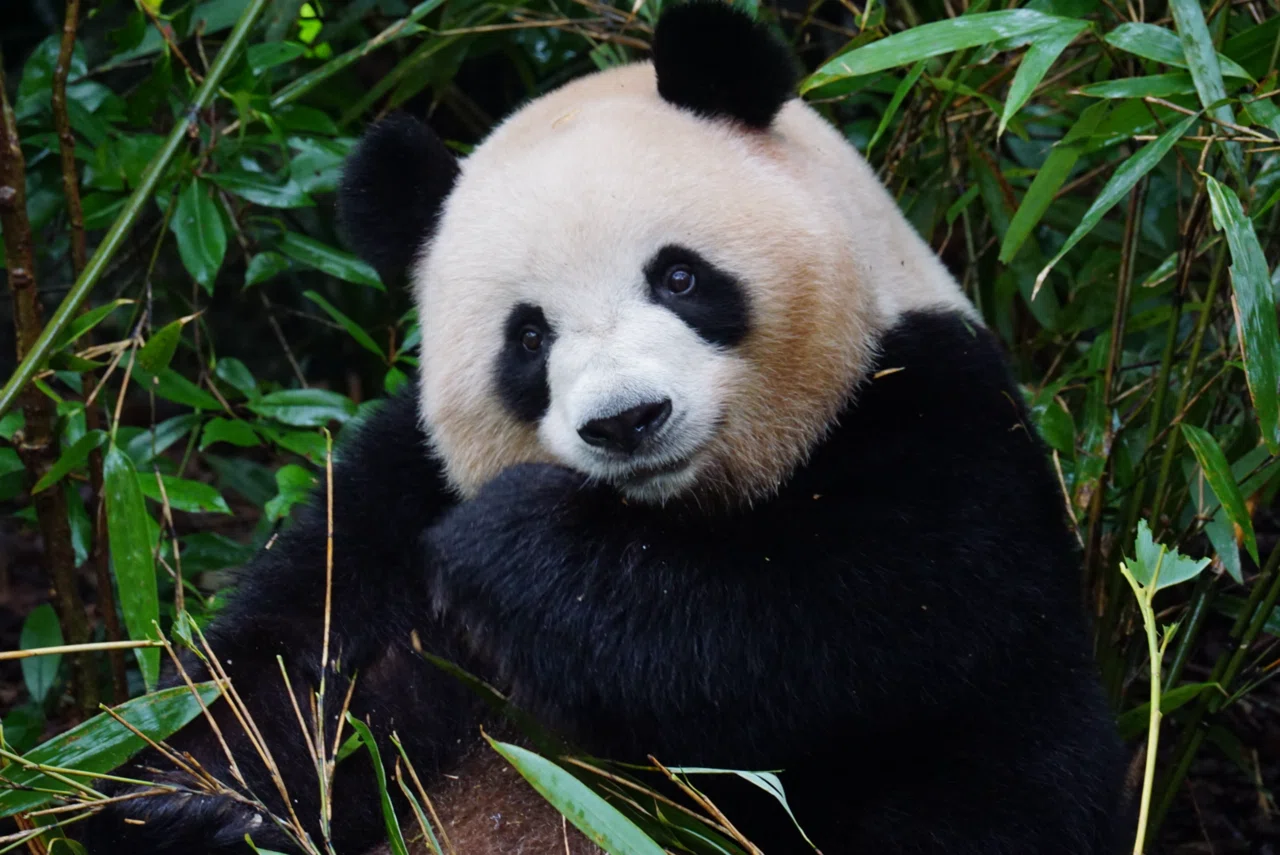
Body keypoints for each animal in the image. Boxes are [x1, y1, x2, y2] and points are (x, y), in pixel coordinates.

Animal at [84, 3, 1128, 854]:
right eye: (529, 336)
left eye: (680, 276)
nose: (628, 420)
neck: (665, 515)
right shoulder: (394, 490)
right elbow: (278, 680)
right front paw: (186, 811)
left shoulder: (936, 417)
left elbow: (819, 621)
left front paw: (515, 550)